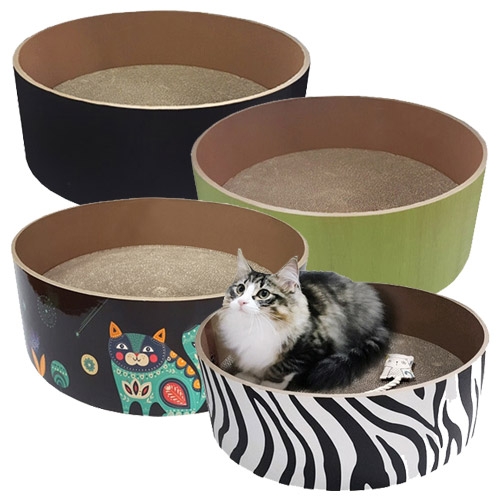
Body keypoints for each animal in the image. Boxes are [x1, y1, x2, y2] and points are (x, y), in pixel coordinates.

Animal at [215, 250, 391, 392]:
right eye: (240, 289)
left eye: (263, 294)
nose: (241, 302)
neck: (253, 327)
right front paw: (248, 377)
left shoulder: (313, 346)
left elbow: (282, 368)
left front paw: (268, 385)